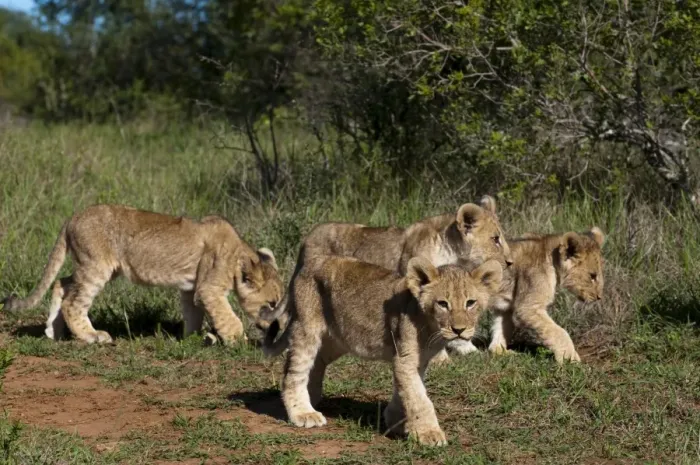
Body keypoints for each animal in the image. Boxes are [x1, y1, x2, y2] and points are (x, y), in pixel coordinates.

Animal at [1, 204, 283, 345]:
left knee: (61, 283)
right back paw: (93, 336)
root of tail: (73, 217)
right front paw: (239, 341)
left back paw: (54, 332)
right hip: (96, 267)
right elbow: (229, 318)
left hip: (91, 265)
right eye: (271, 304)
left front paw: (194, 338)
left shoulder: (191, 287)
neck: (238, 253)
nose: (276, 328)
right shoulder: (208, 289)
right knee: (74, 302)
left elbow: (193, 314)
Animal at [263, 255, 503, 446]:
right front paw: (428, 434)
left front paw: (397, 422)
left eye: (470, 302)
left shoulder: (416, 361)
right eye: (443, 304)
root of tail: (307, 264)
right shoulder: (406, 358)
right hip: (307, 328)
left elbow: (405, 391)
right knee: (293, 371)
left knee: (318, 362)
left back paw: (311, 399)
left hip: (338, 339)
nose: (459, 330)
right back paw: (303, 413)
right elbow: (419, 399)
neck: (431, 329)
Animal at [485, 227, 605, 363]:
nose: (599, 297)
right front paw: (569, 357)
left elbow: (501, 327)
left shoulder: (507, 306)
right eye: (592, 276)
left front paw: (499, 351)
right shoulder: (528, 307)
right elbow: (558, 332)